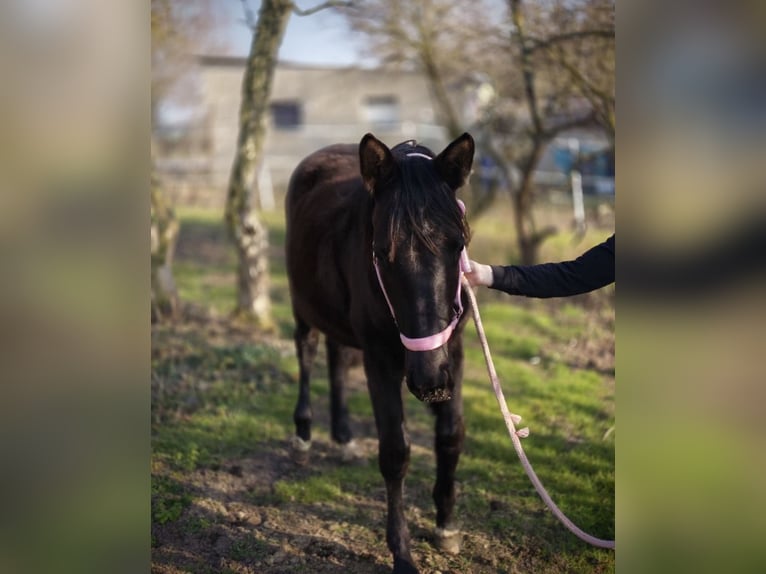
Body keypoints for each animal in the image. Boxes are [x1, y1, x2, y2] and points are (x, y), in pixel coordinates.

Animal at [285, 132, 475, 574]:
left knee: (336, 357)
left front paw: (446, 525)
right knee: (307, 351)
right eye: (382, 251)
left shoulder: (453, 352)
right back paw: (303, 436)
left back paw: (344, 439)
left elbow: (450, 436)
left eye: (458, 244)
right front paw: (402, 552)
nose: (429, 381)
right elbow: (394, 451)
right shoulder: (380, 360)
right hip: (303, 305)